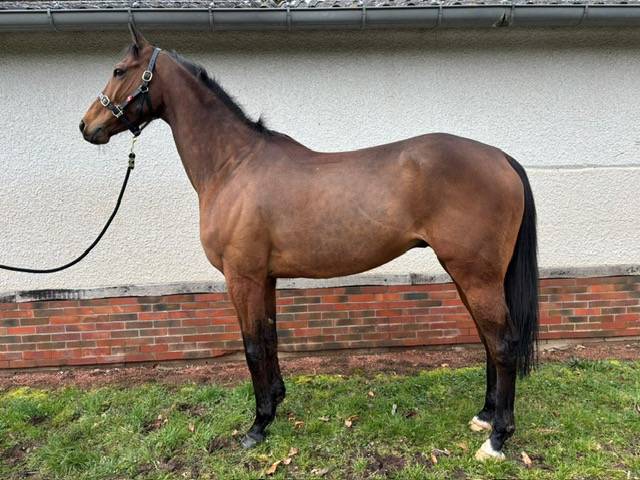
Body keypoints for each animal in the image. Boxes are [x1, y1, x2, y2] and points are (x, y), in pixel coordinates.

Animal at [80, 25, 539, 461]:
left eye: (119, 70)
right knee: (488, 340)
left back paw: (497, 438)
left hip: (476, 276)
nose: (87, 126)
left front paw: (257, 426)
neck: (233, 165)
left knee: (503, 344)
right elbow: (269, 338)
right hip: (470, 276)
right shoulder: (264, 278)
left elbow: (251, 346)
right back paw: (484, 416)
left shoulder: (241, 277)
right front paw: (276, 402)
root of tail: (501, 157)